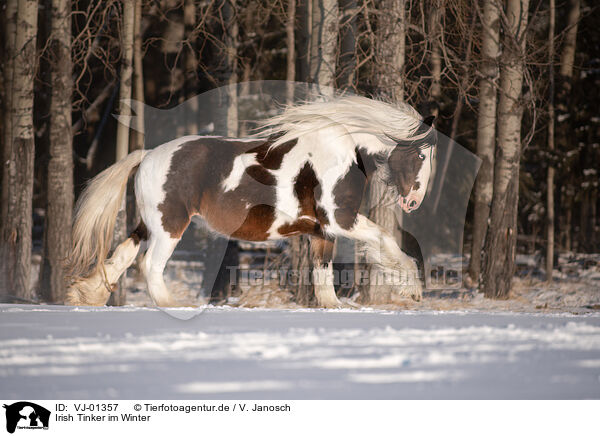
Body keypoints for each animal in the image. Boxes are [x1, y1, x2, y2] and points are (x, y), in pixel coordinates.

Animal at [65, 95, 438, 306]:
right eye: (421, 154)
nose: (414, 202)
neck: (342, 152)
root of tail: (146, 157)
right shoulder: (340, 219)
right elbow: (385, 239)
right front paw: (412, 289)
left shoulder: (323, 232)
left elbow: (323, 280)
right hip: (169, 227)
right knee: (149, 266)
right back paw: (176, 306)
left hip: (149, 225)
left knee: (122, 256)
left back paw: (85, 295)